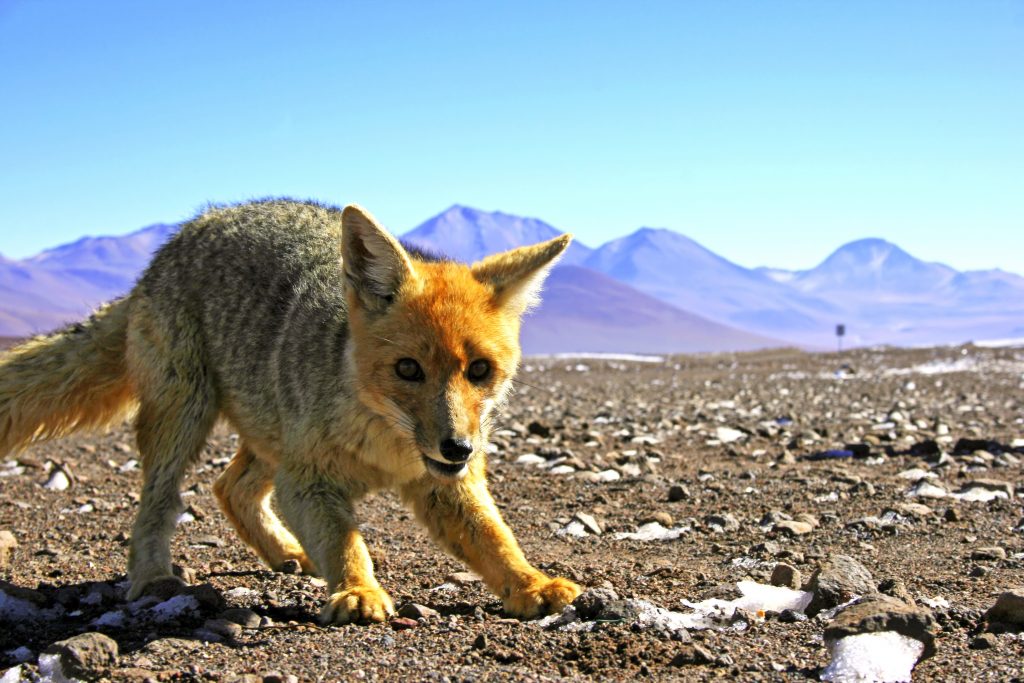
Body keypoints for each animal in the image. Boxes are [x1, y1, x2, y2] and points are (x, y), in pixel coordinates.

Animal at [0, 198, 585, 626]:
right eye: (408, 369)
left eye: (480, 370)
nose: (457, 446)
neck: (386, 448)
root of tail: (179, 238)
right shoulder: (308, 481)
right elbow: (345, 541)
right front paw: (357, 590)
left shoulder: (447, 483)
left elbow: (494, 538)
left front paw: (531, 583)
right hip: (186, 418)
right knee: (159, 504)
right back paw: (152, 578)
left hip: (269, 430)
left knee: (229, 487)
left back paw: (284, 551)